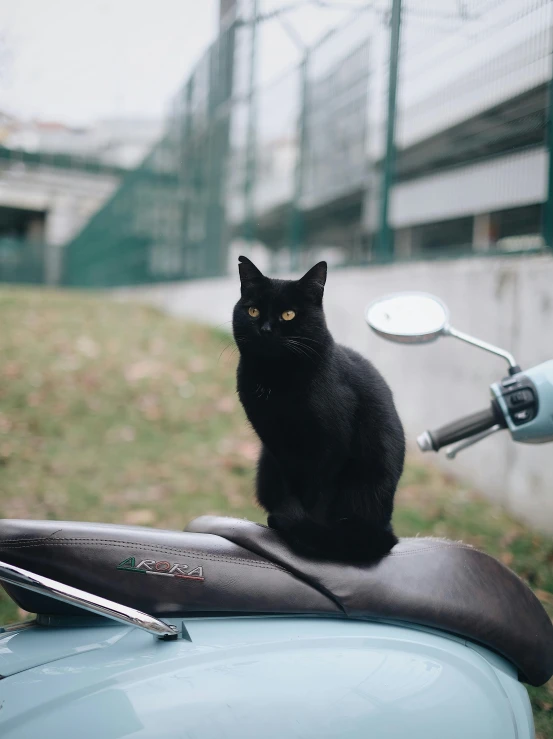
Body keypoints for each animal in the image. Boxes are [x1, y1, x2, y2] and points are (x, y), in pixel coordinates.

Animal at [231, 258, 404, 564]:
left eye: (288, 314)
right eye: (253, 311)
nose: (265, 329)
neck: (276, 382)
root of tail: (385, 528)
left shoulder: (331, 449)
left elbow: (318, 497)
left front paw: (307, 531)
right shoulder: (277, 448)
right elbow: (292, 487)